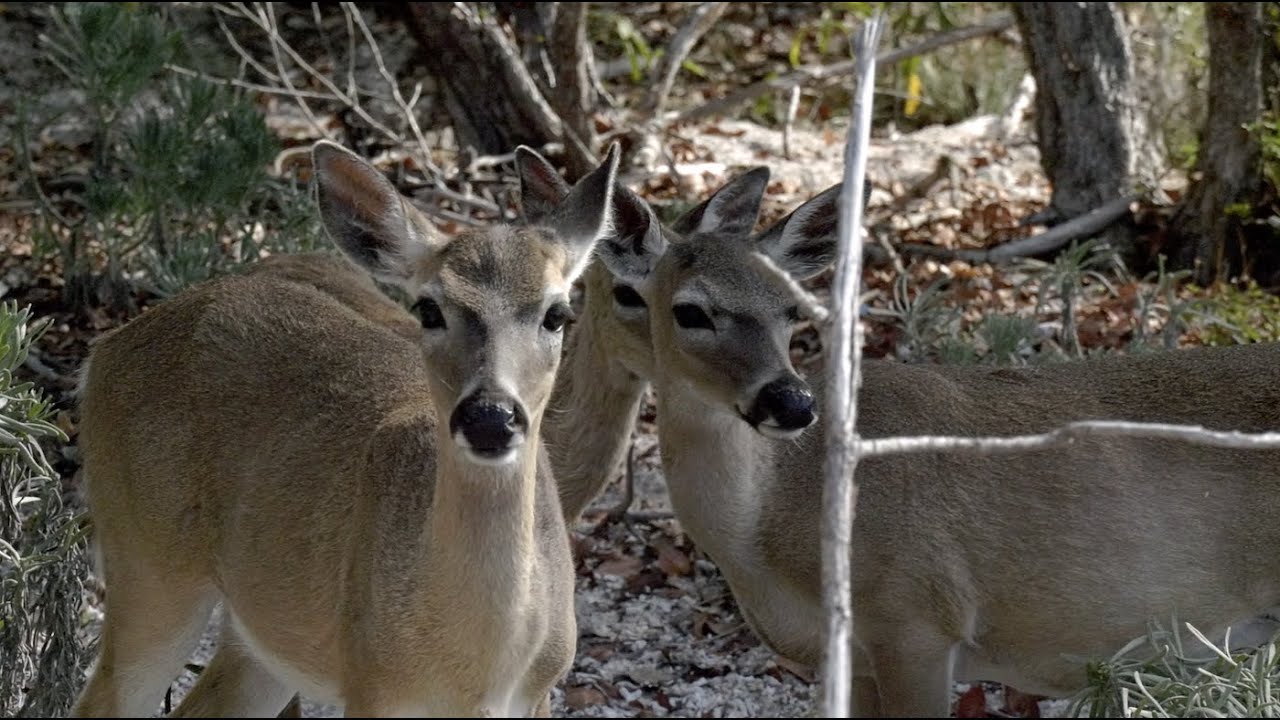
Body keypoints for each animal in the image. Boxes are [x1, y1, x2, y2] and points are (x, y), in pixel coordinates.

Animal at [69, 138, 622, 718]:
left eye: (557, 314)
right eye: (429, 309)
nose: (489, 416)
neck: (478, 673)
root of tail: (100, 352)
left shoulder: (541, 691)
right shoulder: (372, 682)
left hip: (262, 633)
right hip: (146, 560)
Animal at [589, 167, 1280, 716]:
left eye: (792, 309)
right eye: (689, 310)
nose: (791, 402)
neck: (772, 530)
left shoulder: (917, 619)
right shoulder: (853, 657)